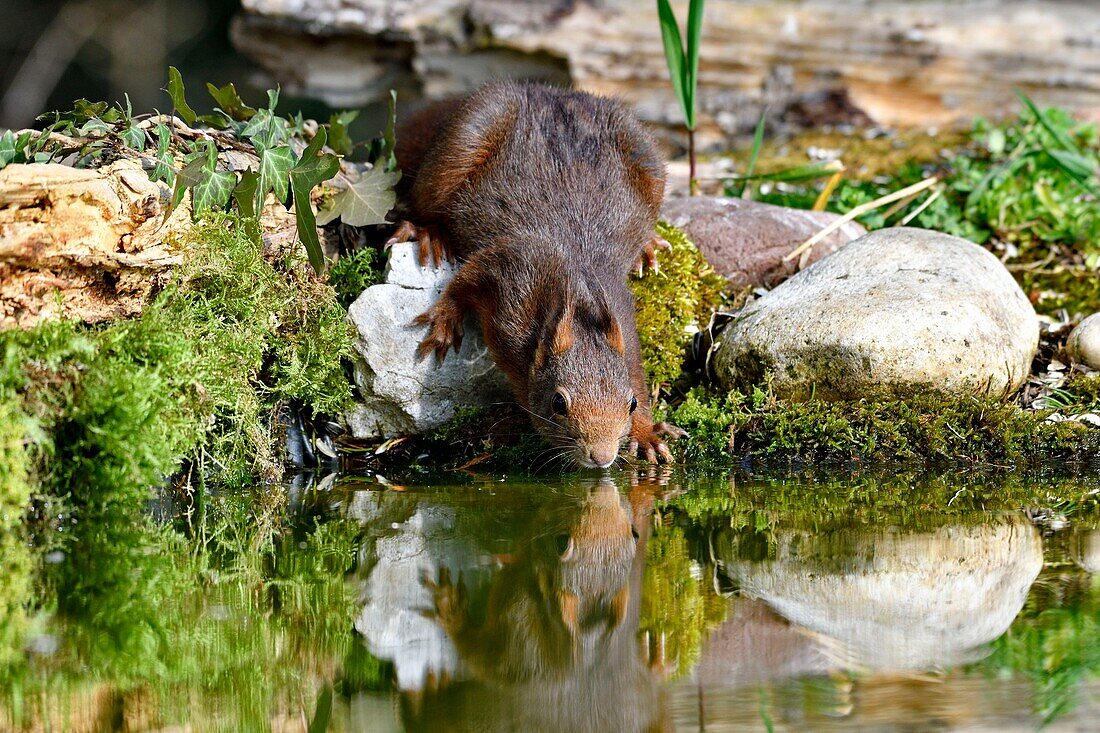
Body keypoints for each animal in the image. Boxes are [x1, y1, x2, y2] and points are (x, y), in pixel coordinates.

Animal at [391, 81, 682, 468]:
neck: (576, 294)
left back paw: (648, 244)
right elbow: (463, 281)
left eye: (631, 403)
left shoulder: (622, 317)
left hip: (646, 155)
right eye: (559, 403)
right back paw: (429, 233)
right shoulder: (510, 271)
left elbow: (636, 369)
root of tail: (550, 92)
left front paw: (646, 434)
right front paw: (444, 320)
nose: (602, 457)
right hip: (463, 141)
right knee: (427, 201)